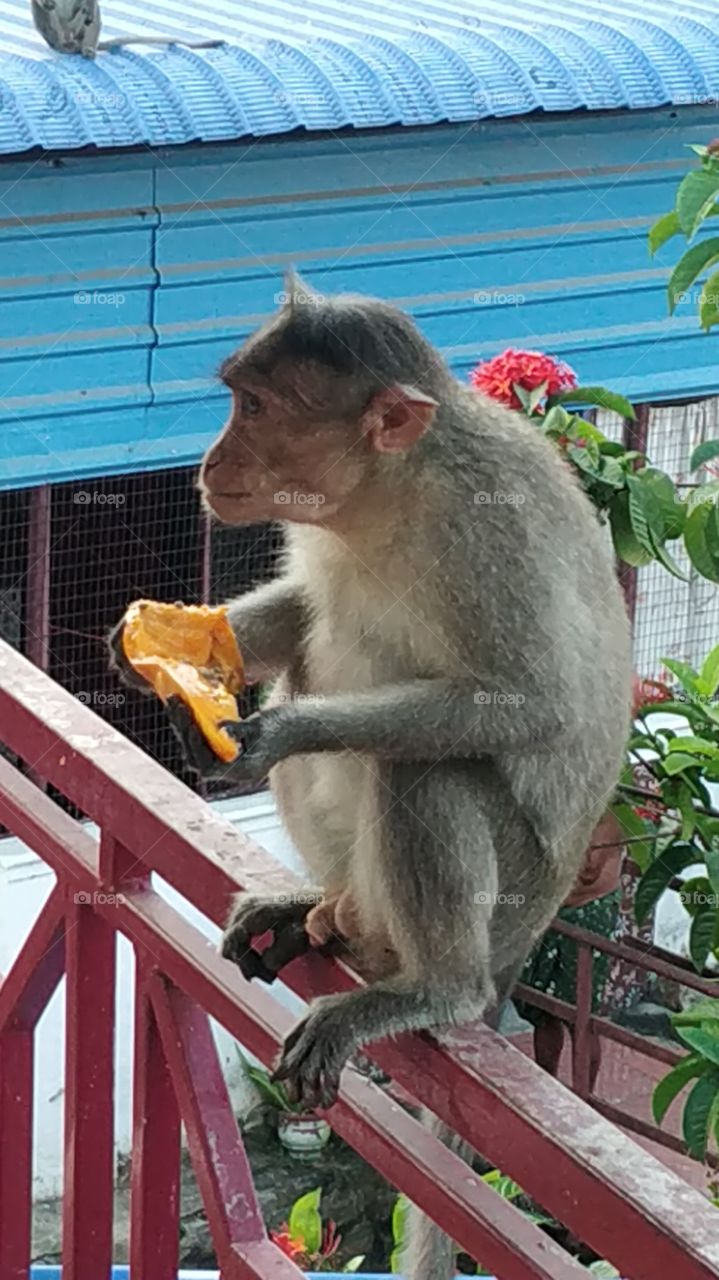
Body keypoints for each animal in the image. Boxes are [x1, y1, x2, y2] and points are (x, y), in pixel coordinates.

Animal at [110, 271, 632, 1279]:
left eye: (256, 407)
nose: (211, 459)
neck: (383, 499)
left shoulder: (488, 533)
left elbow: (534, 705)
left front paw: (274, 732)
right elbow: (302, 611)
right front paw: (160, 662)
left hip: (507, 898)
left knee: (423, 773)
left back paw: (430, 988)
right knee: (317, 657)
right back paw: (315, 911)